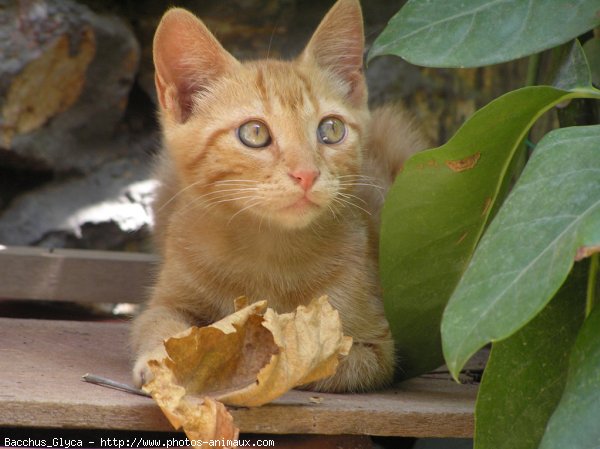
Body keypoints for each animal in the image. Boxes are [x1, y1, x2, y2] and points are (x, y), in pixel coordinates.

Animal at [134, 0, 428, 392]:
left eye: (331, 129)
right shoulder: (166, 300)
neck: (269, 253)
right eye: (255, 133)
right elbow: (160, 324)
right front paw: (163, 361)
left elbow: (314, 361)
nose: (307, 173)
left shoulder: (376, 348)